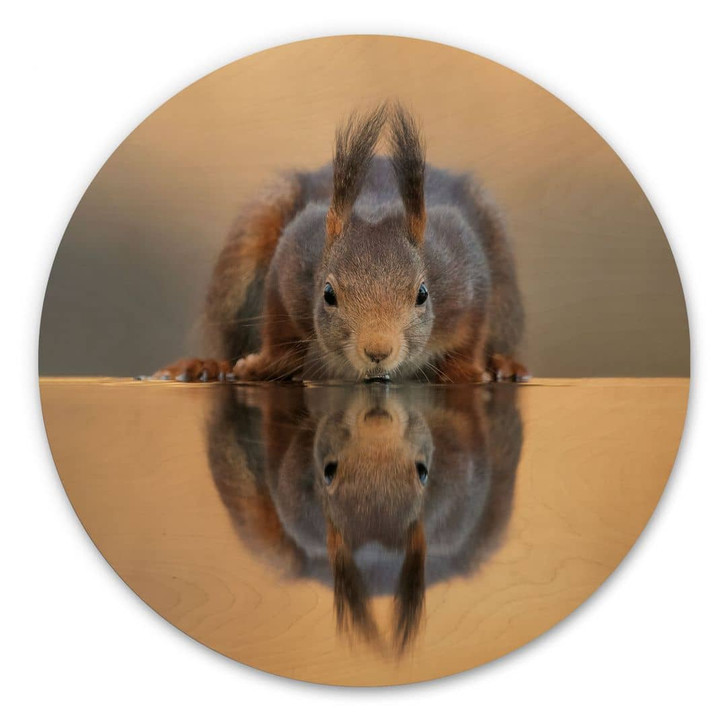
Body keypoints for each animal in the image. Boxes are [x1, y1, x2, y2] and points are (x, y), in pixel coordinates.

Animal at [154, 103, 529, 383]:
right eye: (328, 294)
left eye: (422, 294)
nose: (377, 351)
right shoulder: (293, 257)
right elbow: (278, 328)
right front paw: (264, 365)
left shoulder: (463, 268)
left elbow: (472, 334)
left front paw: (467, 371)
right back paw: (204, 367)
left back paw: (505, 365)